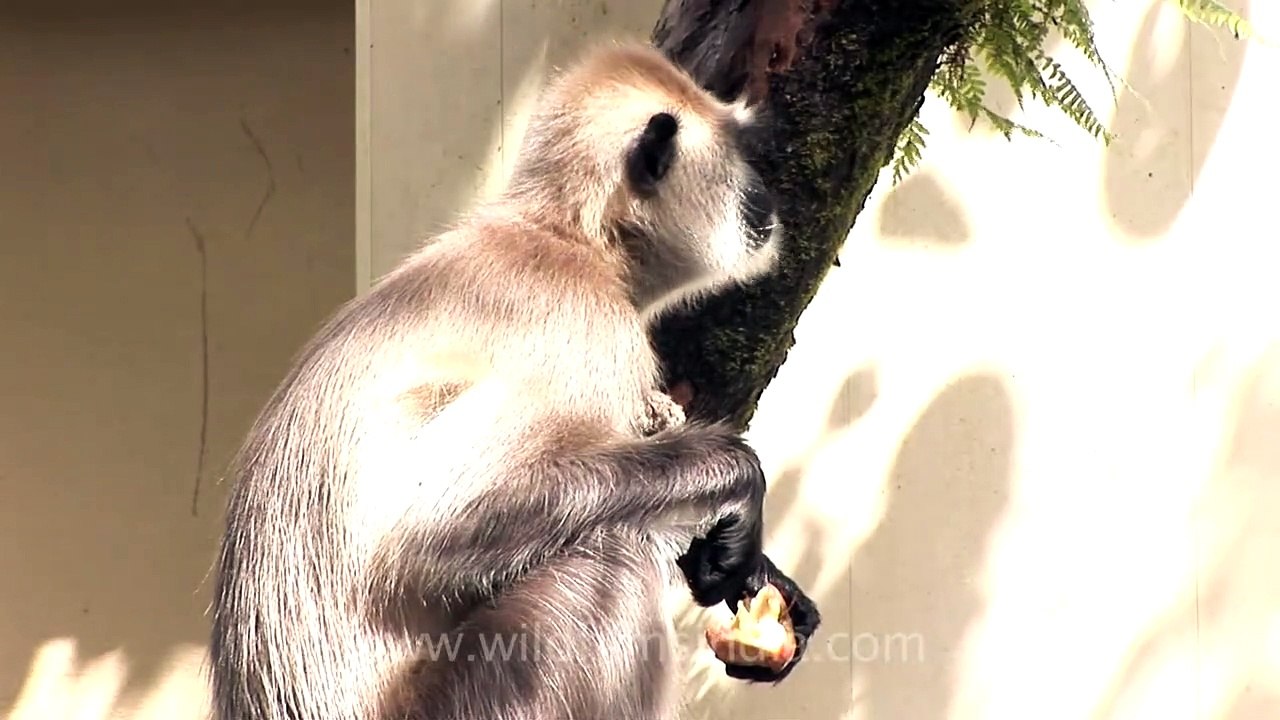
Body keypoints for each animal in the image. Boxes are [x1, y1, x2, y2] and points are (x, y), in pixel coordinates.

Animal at [208, 39, 819, 720]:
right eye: (740, 154)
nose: (765, 195)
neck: (570, 236)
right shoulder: (586, 328)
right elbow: (429, 530)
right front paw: (738, 479)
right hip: (490, 693)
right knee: (611, 561)